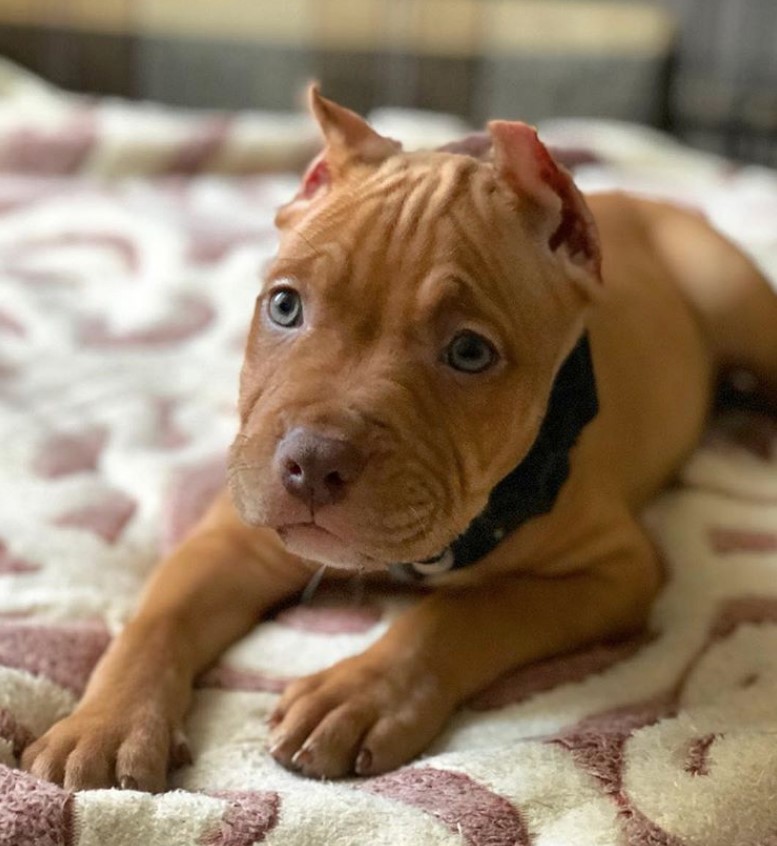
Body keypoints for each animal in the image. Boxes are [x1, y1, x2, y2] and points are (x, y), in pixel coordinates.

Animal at [22, 89, 776, 792]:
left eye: (469, 352)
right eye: (284, 305)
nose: (311, 462)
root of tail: (643, 198)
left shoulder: (614, 571)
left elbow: (465, 611)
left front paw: (356, 695)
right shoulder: (231, 537)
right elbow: (156, 619)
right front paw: (107, 723)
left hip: (735, 302)